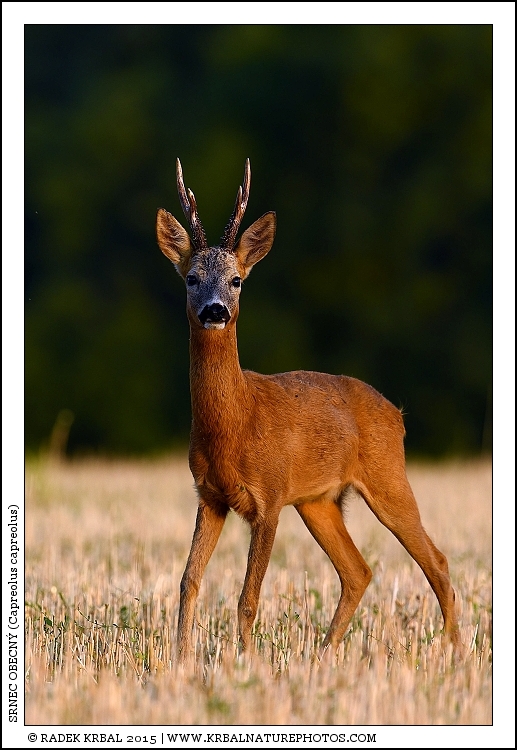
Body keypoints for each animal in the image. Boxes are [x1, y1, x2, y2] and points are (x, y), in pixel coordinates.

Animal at [156, 158, 461, 664]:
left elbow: (248, 597)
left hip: (387, 476)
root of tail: (396, 414)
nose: (215, 311)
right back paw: (321, 655)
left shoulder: (270, 496)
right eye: (191, 278)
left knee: (435, 561)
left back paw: (454, 654)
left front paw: (248, 663)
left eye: (237, 280)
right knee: (358, 570)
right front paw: (179, 663)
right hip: (319, 501)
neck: (236, 424)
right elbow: (188, 582)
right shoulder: (210, 495)